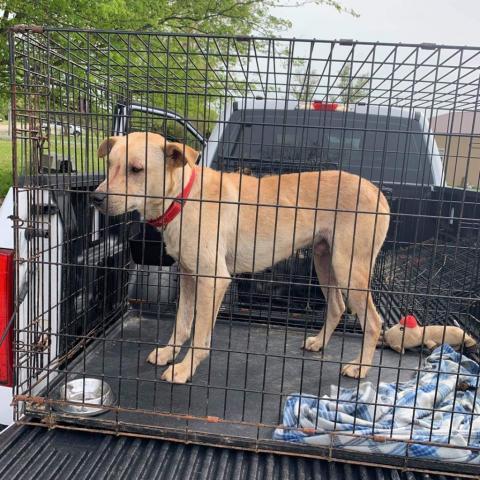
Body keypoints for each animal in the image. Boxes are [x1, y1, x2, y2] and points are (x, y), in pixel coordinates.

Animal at [93, 131, 390, 382]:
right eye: (110, 164)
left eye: (136, 169)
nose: (96, 198)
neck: (184, 197)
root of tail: (376, 191)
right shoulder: (188, 275)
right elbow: (182, 323)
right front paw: (169, 353)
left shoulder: (213, 280)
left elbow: (200, 335)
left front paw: (184, 369)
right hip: (325, 260)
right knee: (338, 306)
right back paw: (318, 343)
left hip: (348, 267)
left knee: (374, 321)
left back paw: (360, 366)